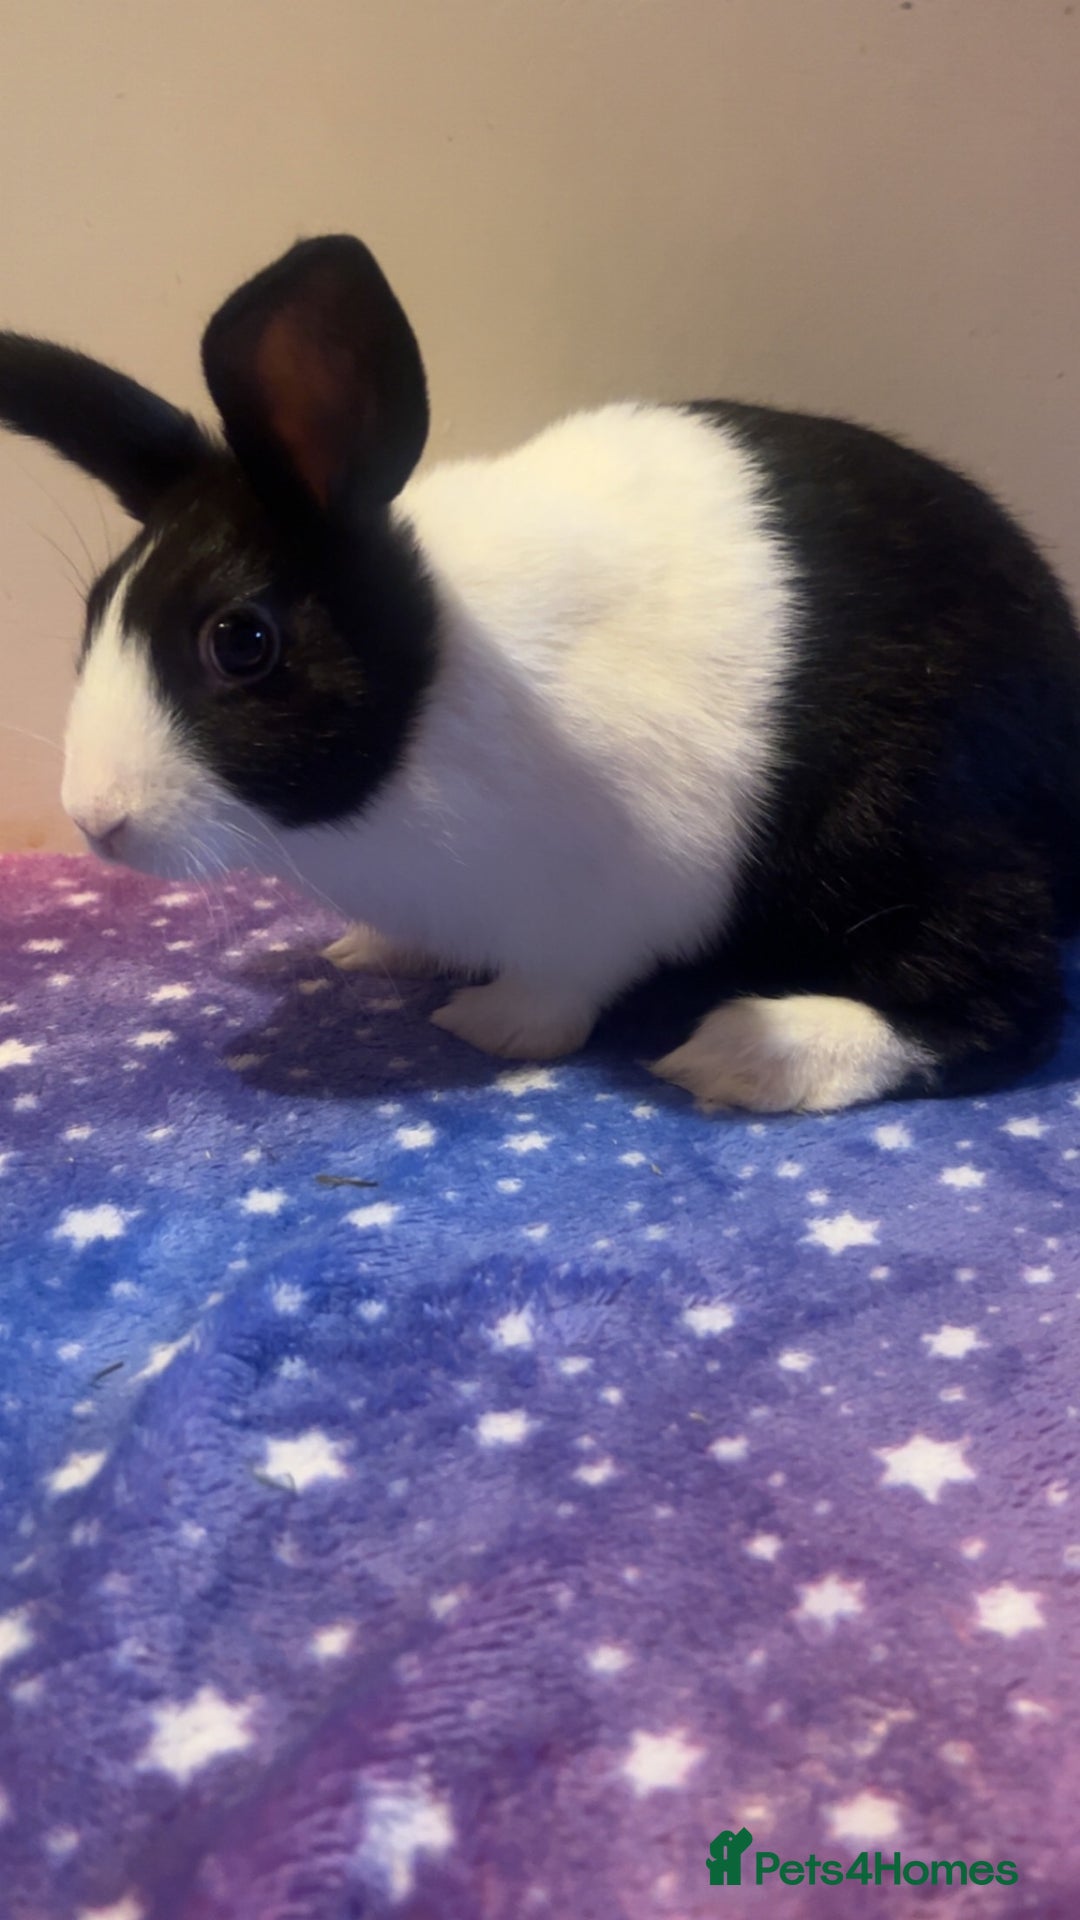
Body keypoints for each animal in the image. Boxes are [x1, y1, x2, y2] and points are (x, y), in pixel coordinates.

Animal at [1, 233, 1079, 1113]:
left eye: (241, 641)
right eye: (96, 607)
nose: (95, 820)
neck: (437, 696)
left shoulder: (615, 896)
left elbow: (562, 984)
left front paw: (490, 1025)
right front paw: (376, 954)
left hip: (912, 825)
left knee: (1002, 1003)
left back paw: (746, 1055)